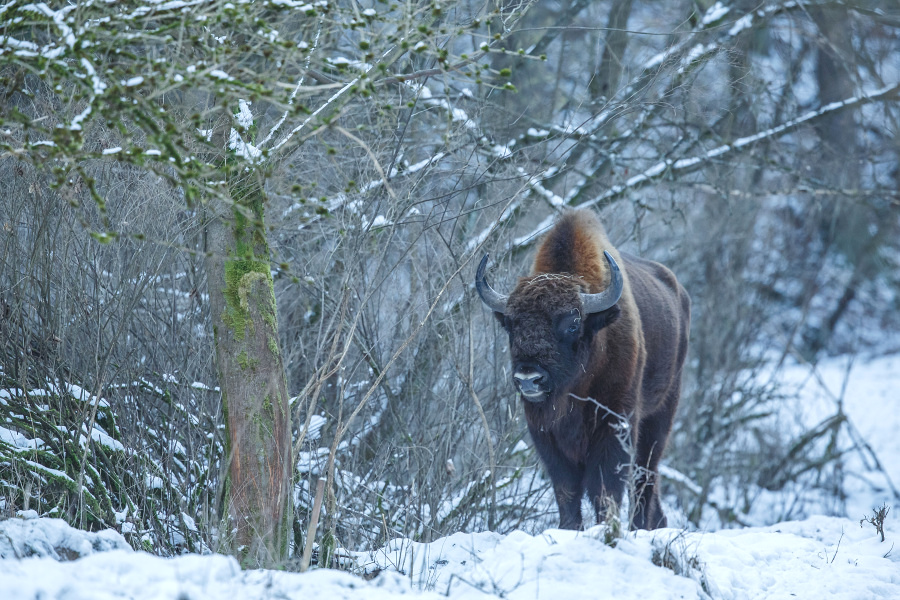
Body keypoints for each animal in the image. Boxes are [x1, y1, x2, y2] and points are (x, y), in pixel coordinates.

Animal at [478, 210, 688, 528]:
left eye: (572, 323)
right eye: (511, 324)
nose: (529, 378)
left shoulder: (615, 425)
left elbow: (604, 488)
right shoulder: (545, 435)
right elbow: (567, 491)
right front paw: (569, 529)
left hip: (660, 417)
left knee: (644, 479)